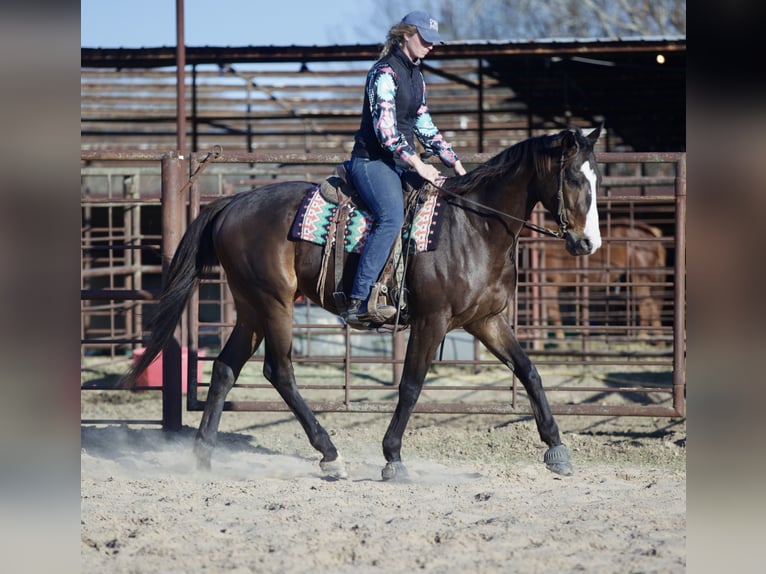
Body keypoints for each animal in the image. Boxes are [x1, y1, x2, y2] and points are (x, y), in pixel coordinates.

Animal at [123, 126, 603, 480]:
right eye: (574, 178)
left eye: (596, 177)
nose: (589, 244)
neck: (473, 227)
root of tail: (231, 203)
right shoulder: (432, 321)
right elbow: (410, 386)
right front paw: (393, 457)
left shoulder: (487, 321)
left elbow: (529, 371)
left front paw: (557, 448)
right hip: (274, 304)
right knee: (279, 372)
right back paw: (329, 454)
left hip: (250, 308)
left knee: (224, 369)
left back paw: (203, 456)